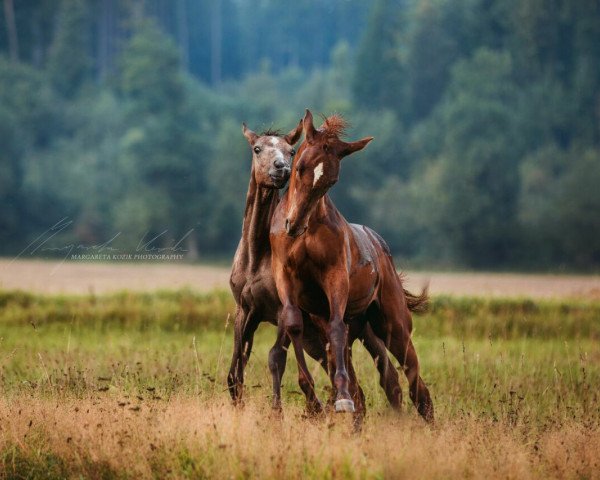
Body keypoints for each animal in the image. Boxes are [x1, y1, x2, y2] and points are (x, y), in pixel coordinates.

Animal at [226, 120, 404, 416]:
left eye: (290, 150)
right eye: (257, 148)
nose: (281, 169)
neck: (257, 254)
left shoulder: (281, 311)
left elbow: (276, 357)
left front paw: (280, 414)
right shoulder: (245, 310)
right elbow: (237, 366)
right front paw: (239, 408)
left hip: (367, 329)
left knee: (388, 376)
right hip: (322, 340)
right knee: (360, 388)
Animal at [270, 110, 434, 422]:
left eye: (331, 181)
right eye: (300, 166)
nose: (293, 225)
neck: (309, 229)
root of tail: (381, 247)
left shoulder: (335, 277)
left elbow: (337, 328)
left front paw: (341, 398)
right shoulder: (285, 276)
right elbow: (294, 324)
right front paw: (310, 394)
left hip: (393, 324)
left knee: (414, 380)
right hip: (361, 326)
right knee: (383, 378)